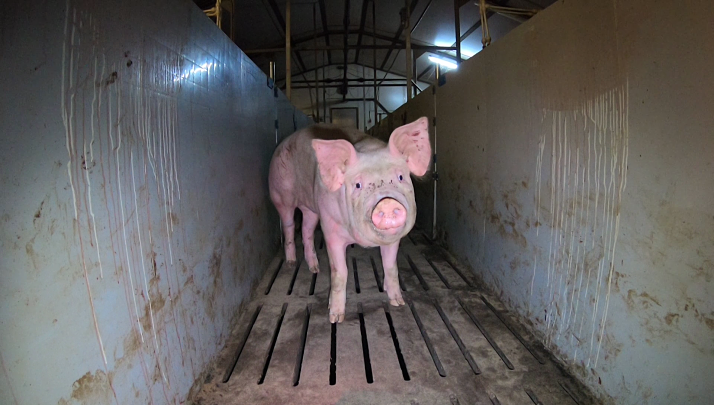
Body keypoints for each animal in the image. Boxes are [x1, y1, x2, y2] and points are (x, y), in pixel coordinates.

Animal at [268, 117, 431, 323]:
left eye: (401, 177)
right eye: (358, 185)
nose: (386, 203)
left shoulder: (393, 238)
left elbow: (390, 266)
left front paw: (397, 302)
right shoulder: (331, 229)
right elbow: (340, 272)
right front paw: (335, 317)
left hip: (311, 207)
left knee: (307, 229)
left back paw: (315, 269)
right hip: (281, 195)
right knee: (289, 225)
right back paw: (290, 263)